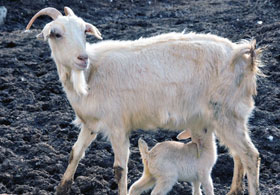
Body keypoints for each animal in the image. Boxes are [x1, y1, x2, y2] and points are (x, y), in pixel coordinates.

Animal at [26, 6, 262, 195]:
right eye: (56, 34)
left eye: (85, 31)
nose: (82, 58)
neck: (91, 73)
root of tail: (243, 55)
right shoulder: (90, 124)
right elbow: (74, 153)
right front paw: (61, 188)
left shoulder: (117, 125)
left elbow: (120, 168)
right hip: (223, 116)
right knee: (238, 154)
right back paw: (234, 190)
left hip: (227, 113)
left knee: (250, 155)